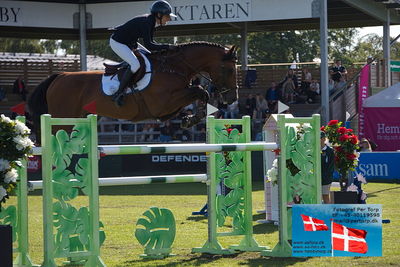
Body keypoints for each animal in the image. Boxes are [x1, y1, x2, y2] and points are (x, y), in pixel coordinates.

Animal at [28, 42, 239, 138]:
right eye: (229, 69)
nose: (232, 98)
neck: (172, 67)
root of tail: (60, 76)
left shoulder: (167, 109)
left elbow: (199, 94)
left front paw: (190, 118)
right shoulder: (162, 105)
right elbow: (200, 91)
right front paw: (191, 119)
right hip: (61, 119)